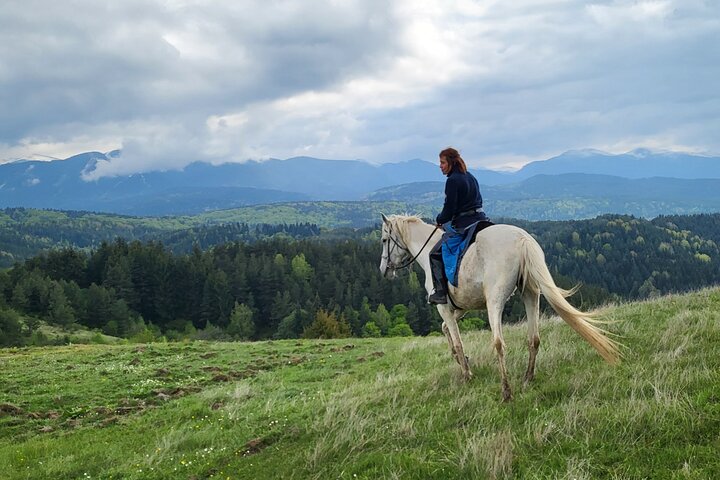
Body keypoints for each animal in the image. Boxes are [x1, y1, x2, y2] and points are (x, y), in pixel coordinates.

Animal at [379, 214, 620, 401]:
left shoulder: (445, 307)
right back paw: (527, 378)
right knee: (534, 338)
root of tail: (522, 239)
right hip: (531, 293)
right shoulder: (461, 307)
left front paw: (466, 374)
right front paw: (461, 361)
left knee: (499, 343)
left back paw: (506, 391)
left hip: (494, 300)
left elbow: (457, 340)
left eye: (384, 240)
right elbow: (445, 330)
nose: (383, 270)